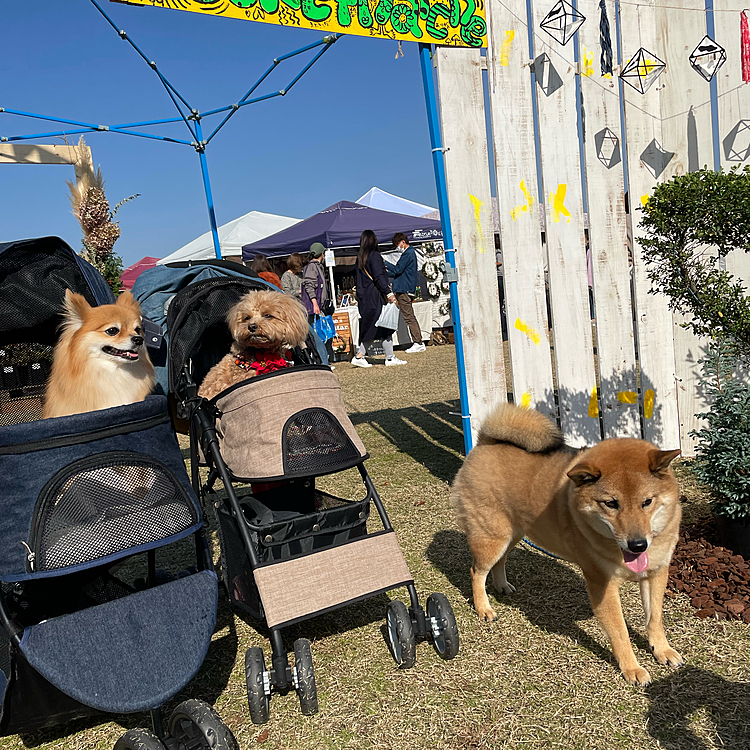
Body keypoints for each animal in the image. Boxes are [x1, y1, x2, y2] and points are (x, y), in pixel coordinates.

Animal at [452, 406, 688, 688]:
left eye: (647, 501)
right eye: (611, 503)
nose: (638, 544)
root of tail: (485, 442)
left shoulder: (656, 574)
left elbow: (655, 619)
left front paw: (662, 650)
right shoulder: (602, 586)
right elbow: (620, 633)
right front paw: (632, 668)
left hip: (513, 535)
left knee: (500, 562)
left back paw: (501, 586)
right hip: (492, 538)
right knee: (477, 572)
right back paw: (484, 607)